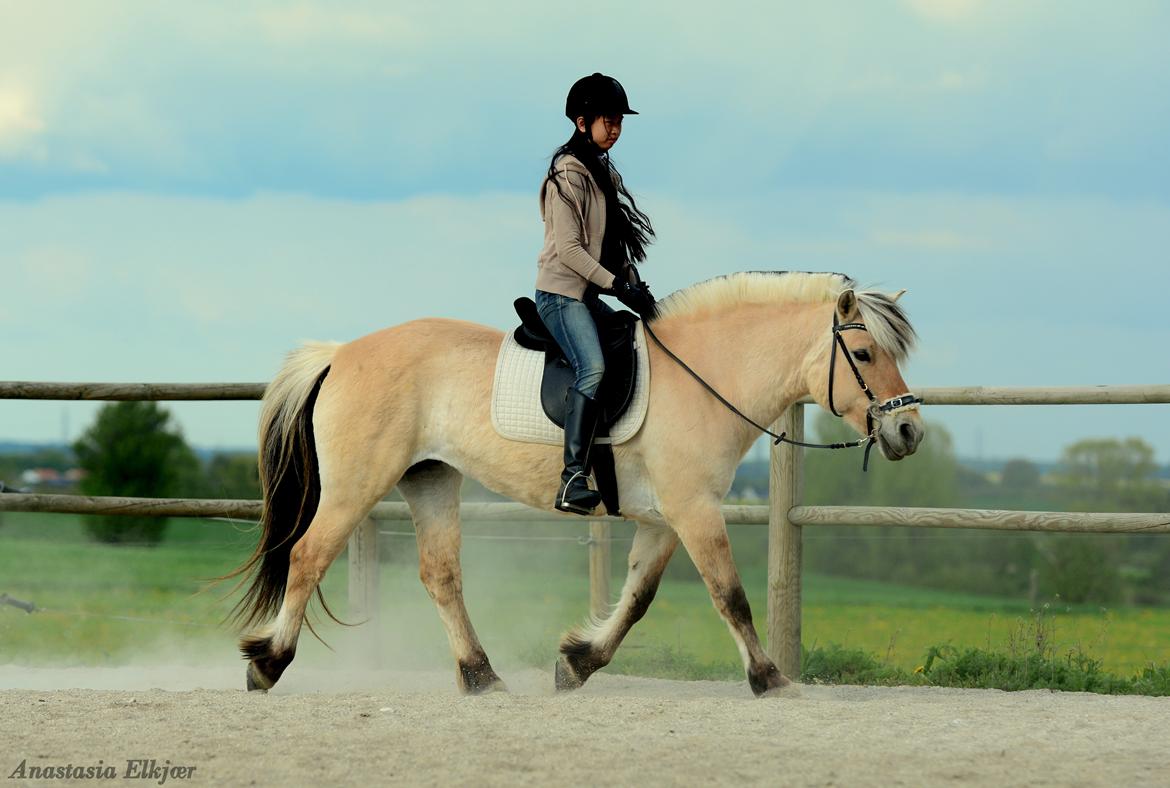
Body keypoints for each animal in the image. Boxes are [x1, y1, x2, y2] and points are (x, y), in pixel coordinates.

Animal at [228, 268, 921, 692]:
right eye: (864, 355)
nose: (908, 431)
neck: (704, 375)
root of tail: (340, 353)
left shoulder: (665, 519)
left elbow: (637, 599)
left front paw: (578, 664)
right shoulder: (694, 509)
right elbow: (730, 595)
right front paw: (770, 679)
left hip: (430, 479)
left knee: (440, 576)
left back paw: (481, 677)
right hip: (357, 485)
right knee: (308, 556)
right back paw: (269, 665)